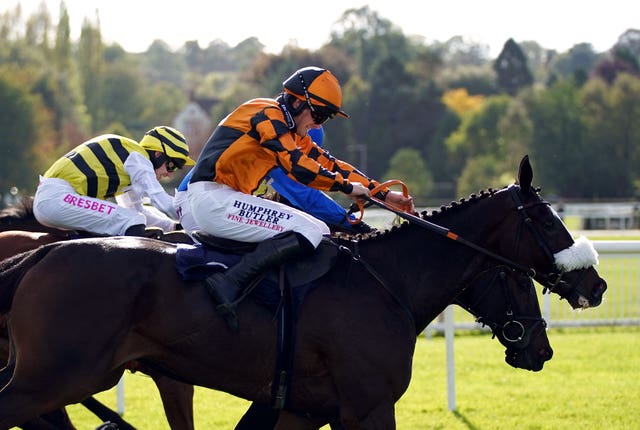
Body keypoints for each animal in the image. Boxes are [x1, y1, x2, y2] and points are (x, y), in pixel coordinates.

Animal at [0, 156, 604, 428]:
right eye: (547, 223)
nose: (595, 284)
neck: (384, 282)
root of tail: (42, 253)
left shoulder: (299, 409)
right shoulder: (367, 407)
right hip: (60, 375)